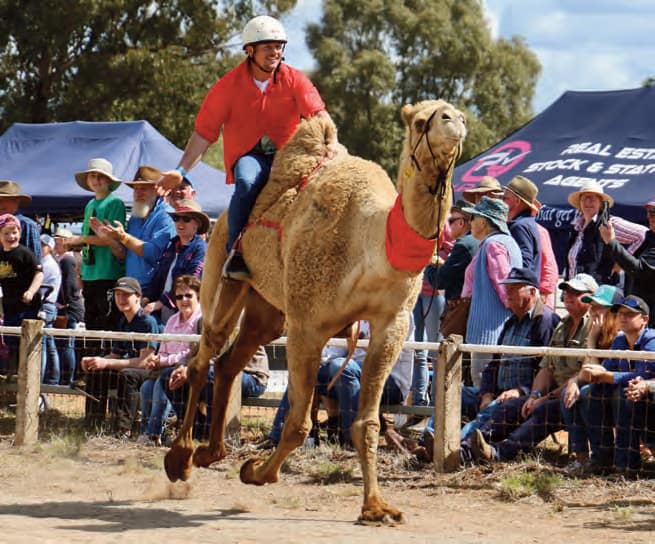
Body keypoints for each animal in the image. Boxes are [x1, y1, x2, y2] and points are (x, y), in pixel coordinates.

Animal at [163, 99, 467, 524]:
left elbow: (367, 422)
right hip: (221, 279)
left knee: (227, 363)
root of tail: (218, 221)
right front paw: (256, 472)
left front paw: (376, 507)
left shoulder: (392, 324)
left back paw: (212, 452)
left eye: (457, 114)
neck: (370, 244)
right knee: (201, 357)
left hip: (269, 313)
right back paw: (180, 458)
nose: (454, 122)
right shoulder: (308, 325)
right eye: (422, 121)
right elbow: (298, 423)